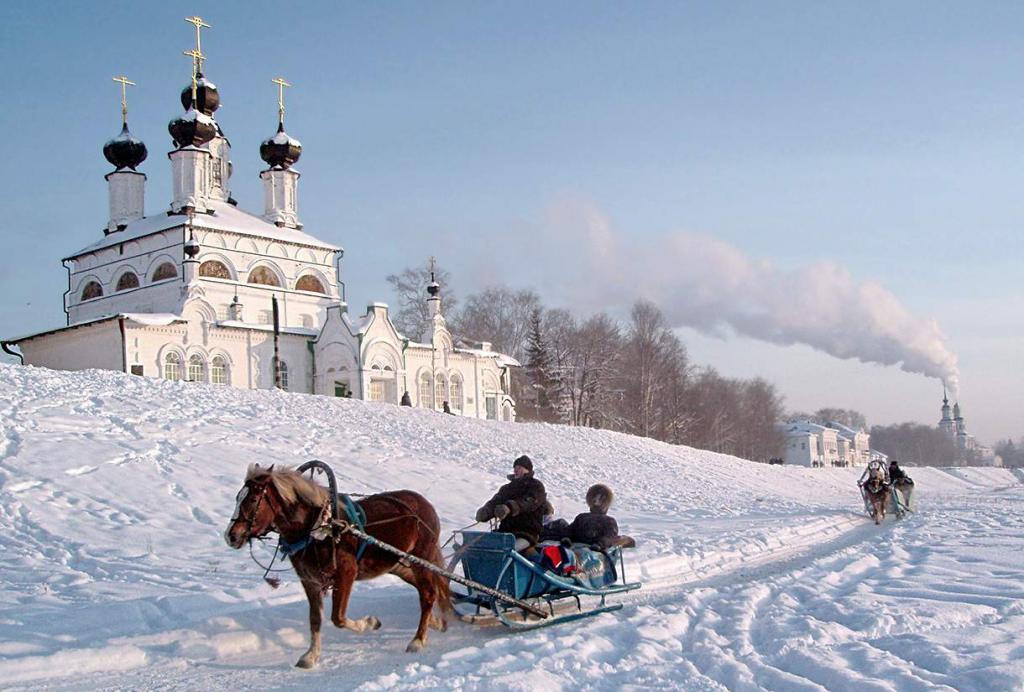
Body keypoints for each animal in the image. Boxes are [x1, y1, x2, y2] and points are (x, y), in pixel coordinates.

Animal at [226, 466, 450, 667]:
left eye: (253, 499)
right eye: (237, 497)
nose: (231, 536)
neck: (318, 527)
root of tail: (426, 504)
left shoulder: (346, 574)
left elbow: (338, 618)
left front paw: (369, 622)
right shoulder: (310, 581)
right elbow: (315, 619)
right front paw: (311, 655)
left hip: (421, 560)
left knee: (428, 594)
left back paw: (418, 640)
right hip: (399, 566)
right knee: (427, 591)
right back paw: (437, 622)